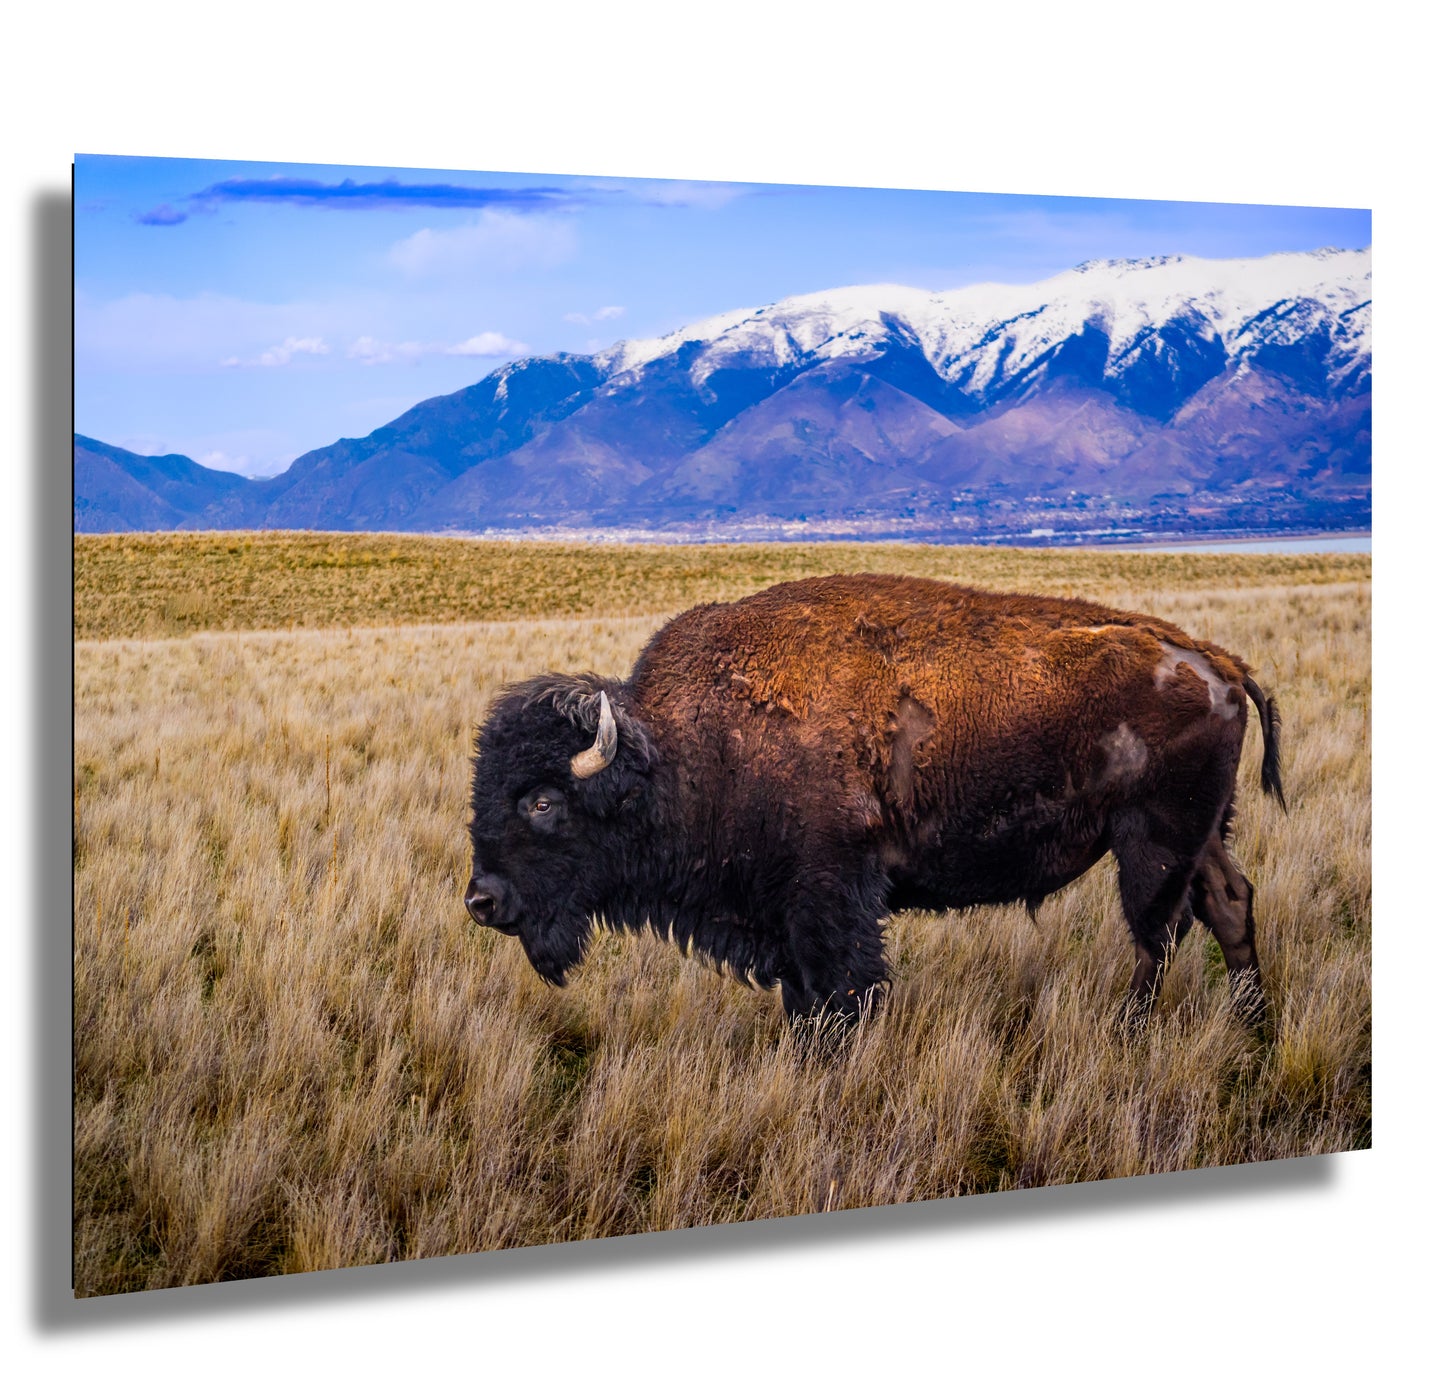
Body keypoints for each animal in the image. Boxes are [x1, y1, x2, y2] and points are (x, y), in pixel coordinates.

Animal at [466, 573, 1283, 1026]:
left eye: (542, 801)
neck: (683, 750)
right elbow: (804, 1000)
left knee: (1157, 934)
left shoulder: (828, 899)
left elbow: (842, 994)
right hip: (1204, 832)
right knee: (1228, 902)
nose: (481, 900)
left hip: (1153, 839)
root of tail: (1217, 660)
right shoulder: (783, 919)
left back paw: (1128, 1032)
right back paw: (1255, 1024)